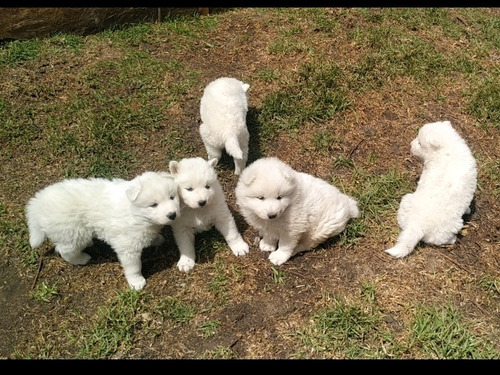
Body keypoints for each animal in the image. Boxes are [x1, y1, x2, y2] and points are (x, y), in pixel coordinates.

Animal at [25, 172, 181, 292]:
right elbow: (133, 266)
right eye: (153, 205)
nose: (172, 215)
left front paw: (157, 239)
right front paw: (136, 282)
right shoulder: (127, 246)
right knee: (64, 250)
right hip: (72, 232)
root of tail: (37, 205)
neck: (135, 212)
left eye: (172, 197)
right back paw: (81, 259)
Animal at [384, 120, 478, 258]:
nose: (410, 144)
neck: (448, 149)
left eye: (420, 143)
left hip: (405, 202)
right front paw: (468, 209)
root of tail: (417, 225)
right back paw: (454, 238)